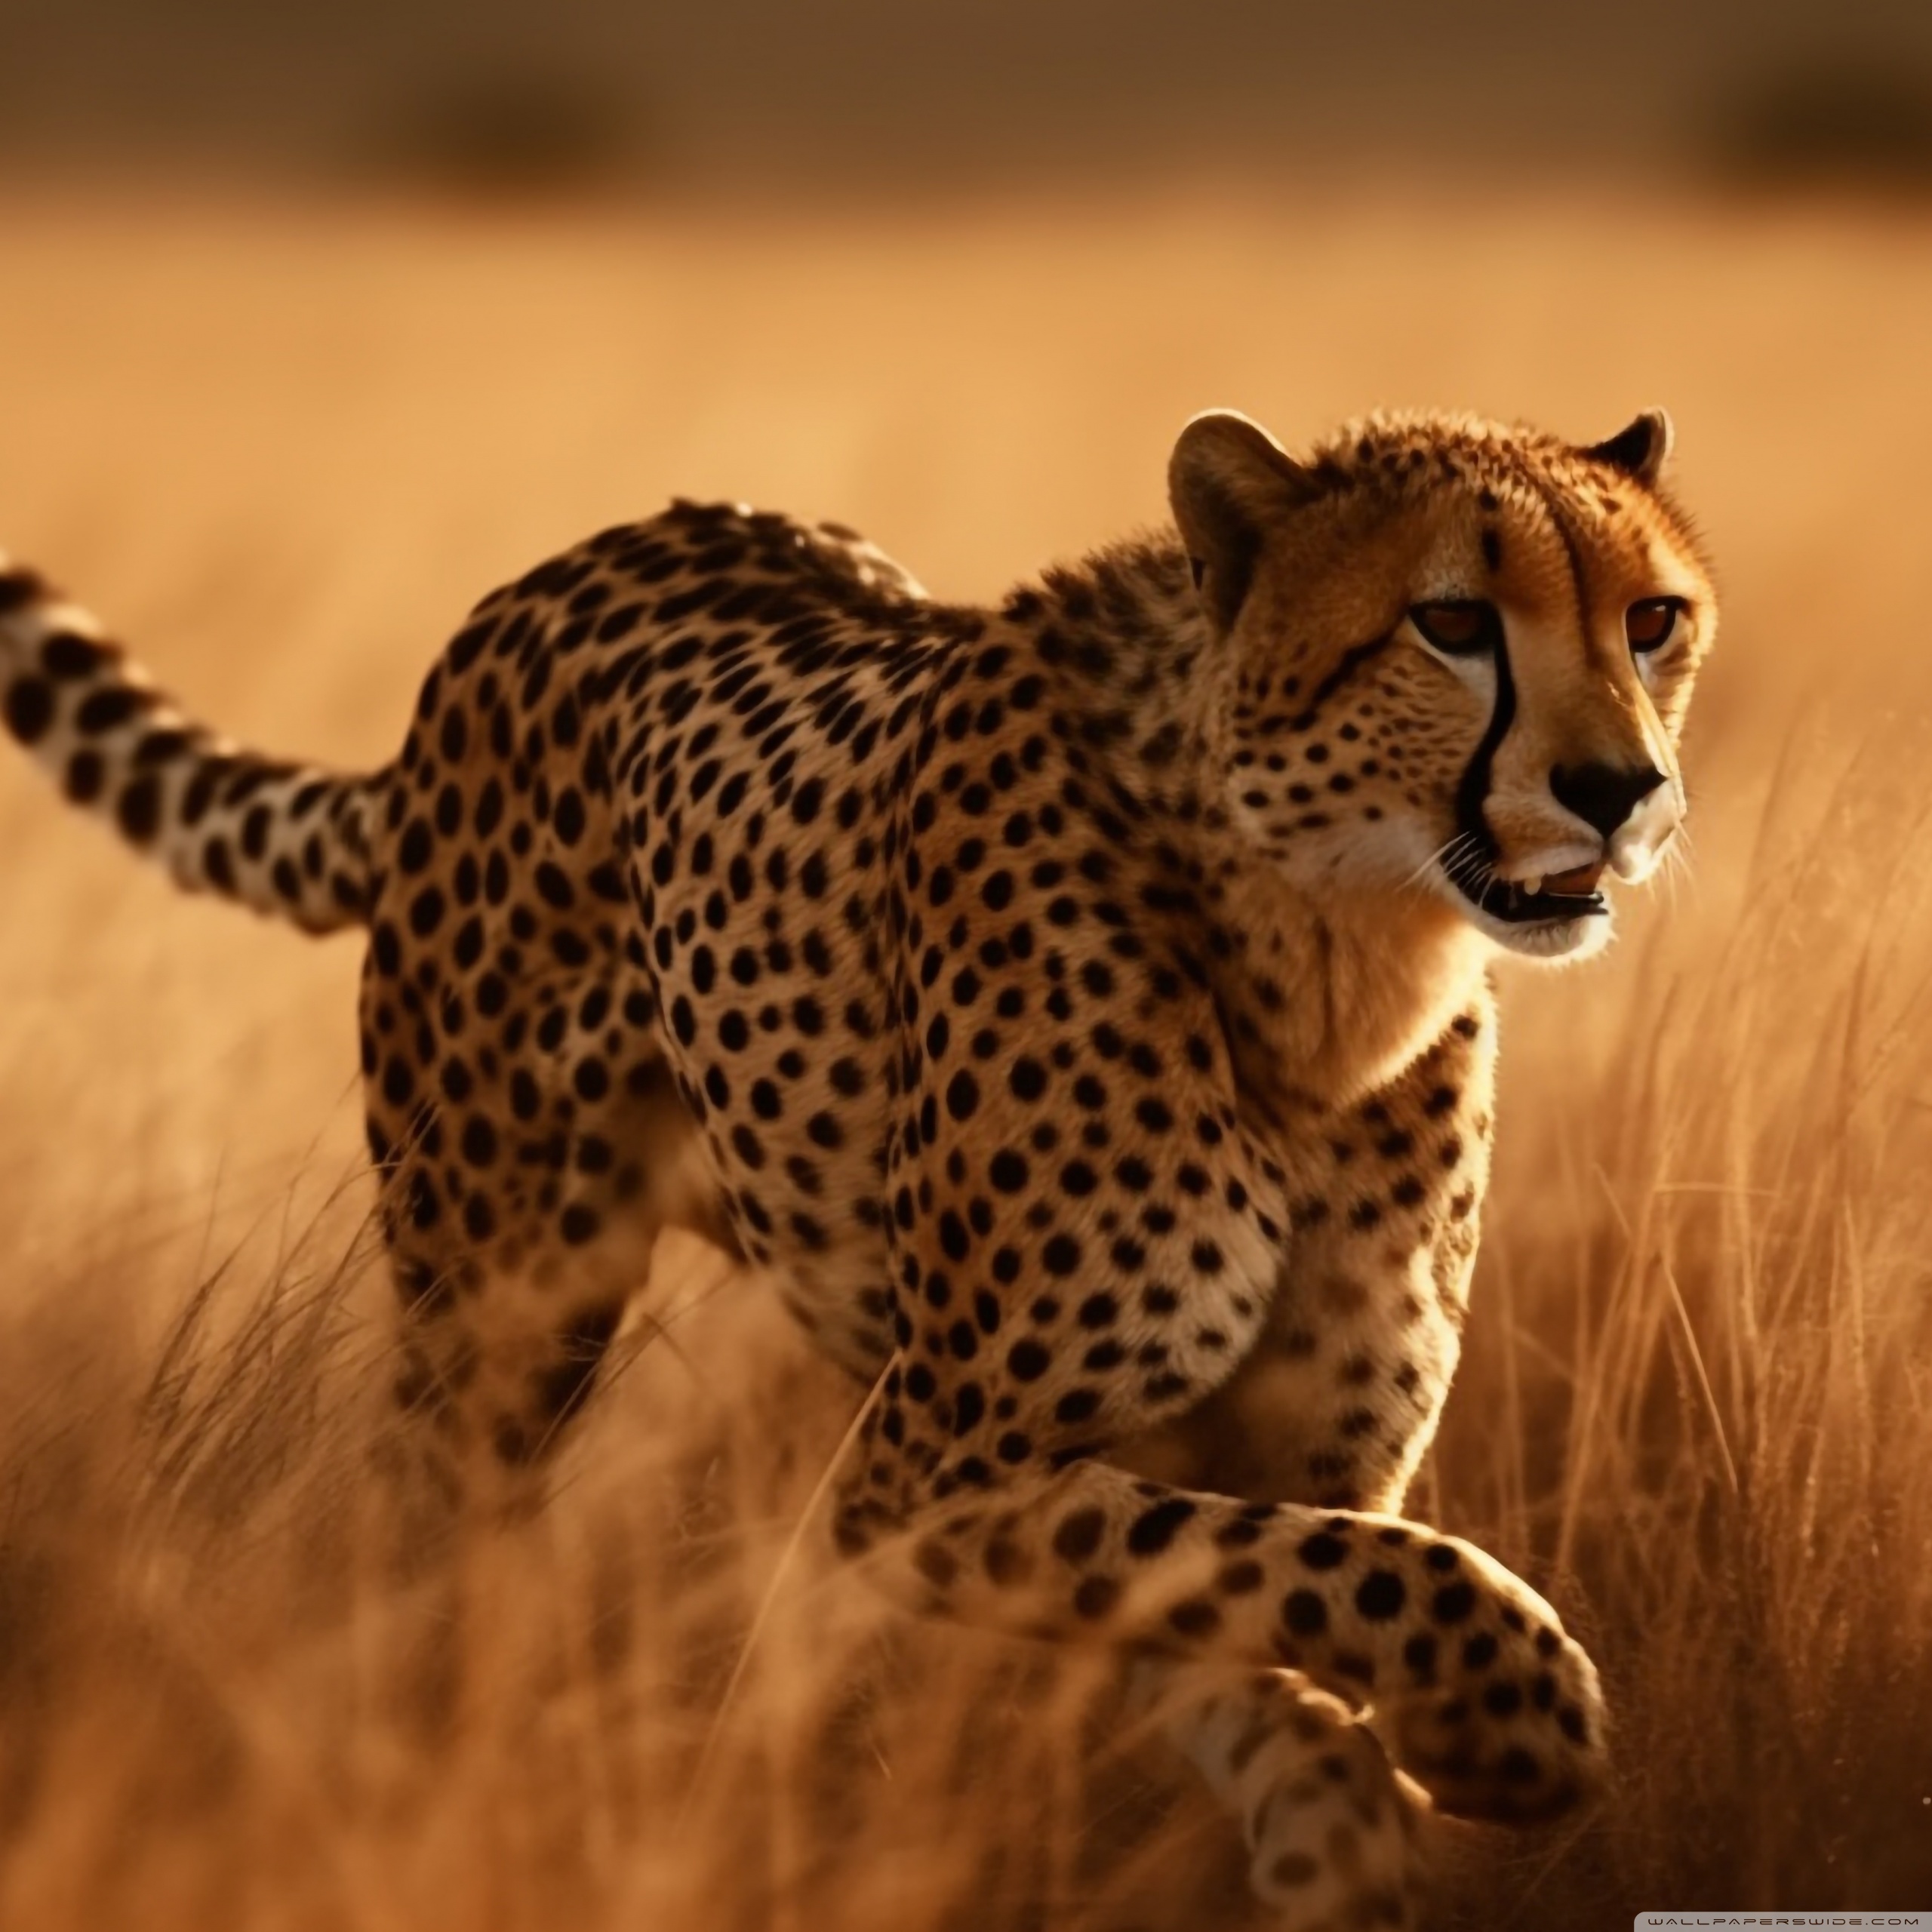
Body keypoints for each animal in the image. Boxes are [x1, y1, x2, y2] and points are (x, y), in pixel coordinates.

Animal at [0, 405, 1715, 1926]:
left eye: (1651, 620)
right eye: (1451, 621)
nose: (1618, 790)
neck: (1332, 964)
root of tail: (559, 571)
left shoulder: (1248, 1478)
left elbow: (1295, 1621)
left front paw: (1376, 1802)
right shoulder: (927, 1473)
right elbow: (1361, 1580)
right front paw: (1514, 1713)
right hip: (496, 1320)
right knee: (427, 1546)